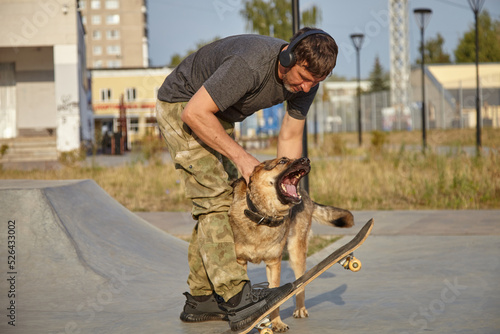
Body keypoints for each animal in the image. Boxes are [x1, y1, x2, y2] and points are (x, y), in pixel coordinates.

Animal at [229, 157, 354, 332]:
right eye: (282, 161)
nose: (306, 159)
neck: (261, 215)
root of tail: (306, 195)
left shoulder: (274, 264)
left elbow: (275, 302)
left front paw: (276, 323)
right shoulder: (239, 262)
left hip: (296, 253)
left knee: (301, 283)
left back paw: (300, 309)